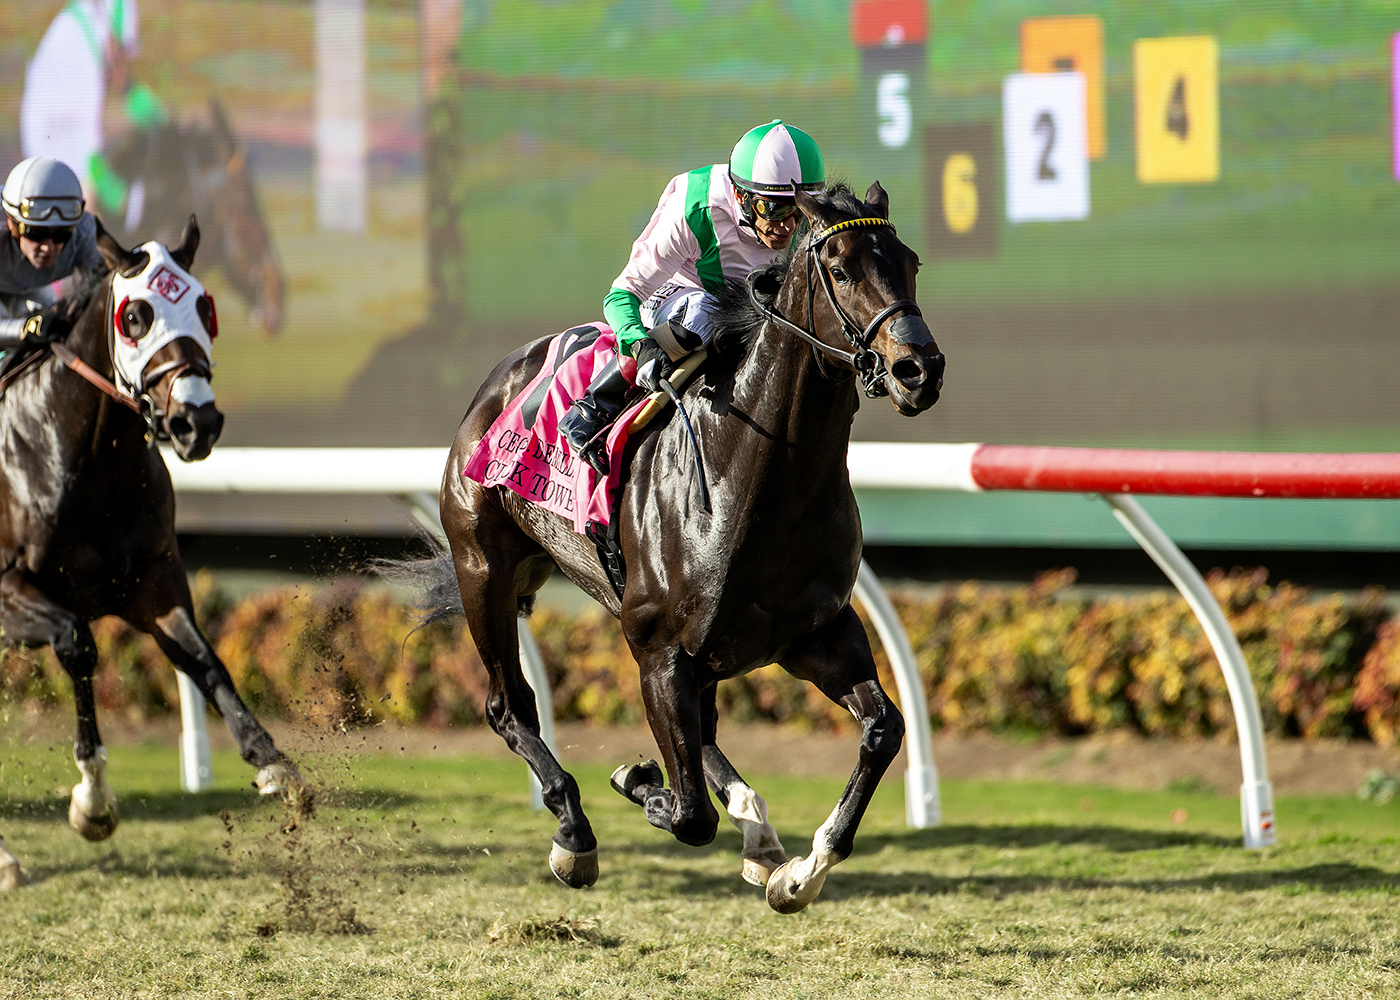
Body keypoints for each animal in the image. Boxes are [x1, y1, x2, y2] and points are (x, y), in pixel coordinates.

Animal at [0, 218, 301, 890]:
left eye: (205, 307)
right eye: (135, 315)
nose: (197, 422)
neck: (86, 462)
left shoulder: (154, 585)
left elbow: (205, 661)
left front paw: (272, 762)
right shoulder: (10, 594)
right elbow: (79, 644)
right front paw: (92, 803)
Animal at [414, 180, 940, 913]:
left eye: (910, 263)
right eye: (839, 269)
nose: (919, 369)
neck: (751, 477)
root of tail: (502, 377)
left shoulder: (816, 634)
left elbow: (883, 728)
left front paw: (801, 872)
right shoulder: (659, 649)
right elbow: (689, 813)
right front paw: (639, 783)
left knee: (706, 733)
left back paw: (758, 835)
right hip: (483, 569)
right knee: (508, 706)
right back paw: (575, 833)